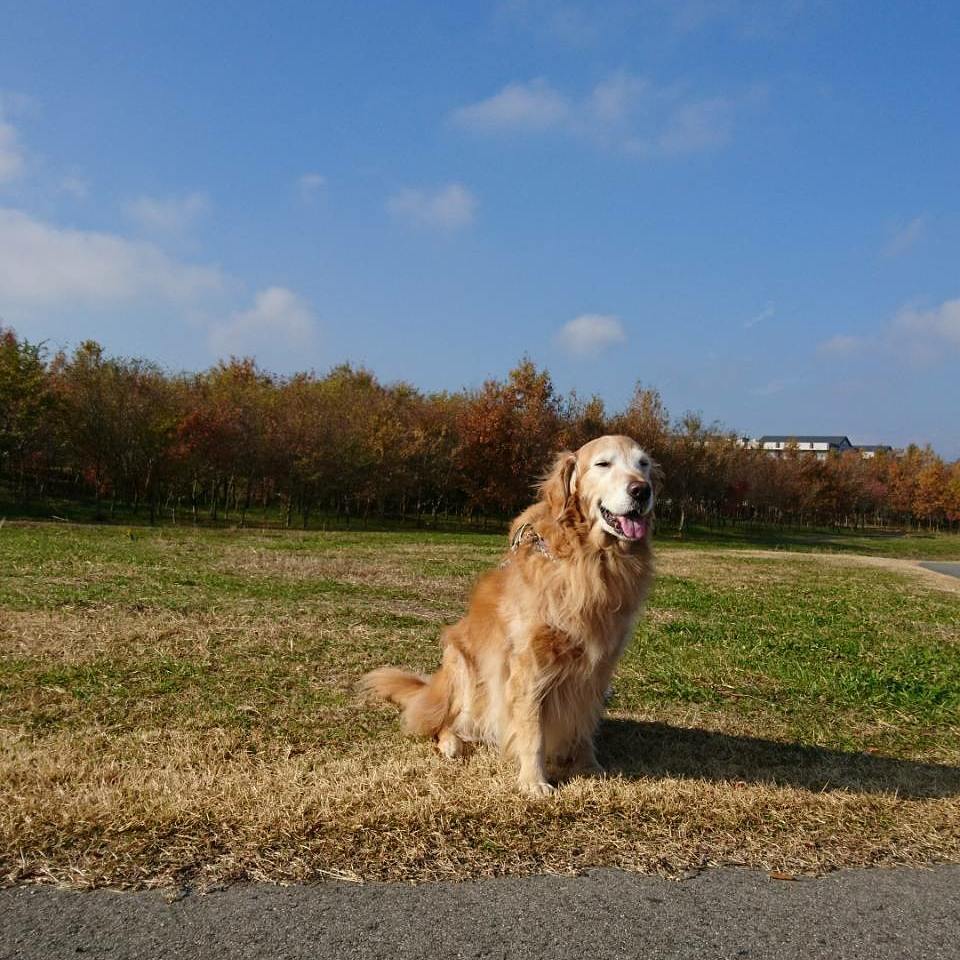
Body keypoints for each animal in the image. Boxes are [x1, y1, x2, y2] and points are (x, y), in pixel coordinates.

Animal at [364, 436, 656, 796]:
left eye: (643, 464)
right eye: (603, 464)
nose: (642, 490)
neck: (589, 559)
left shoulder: (598, 668)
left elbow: (583, 723)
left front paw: (589, 766)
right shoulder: (529, 664)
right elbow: (532, 731)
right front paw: (534, 781)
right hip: (462, 668)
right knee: (442, 722)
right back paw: (451, 742)